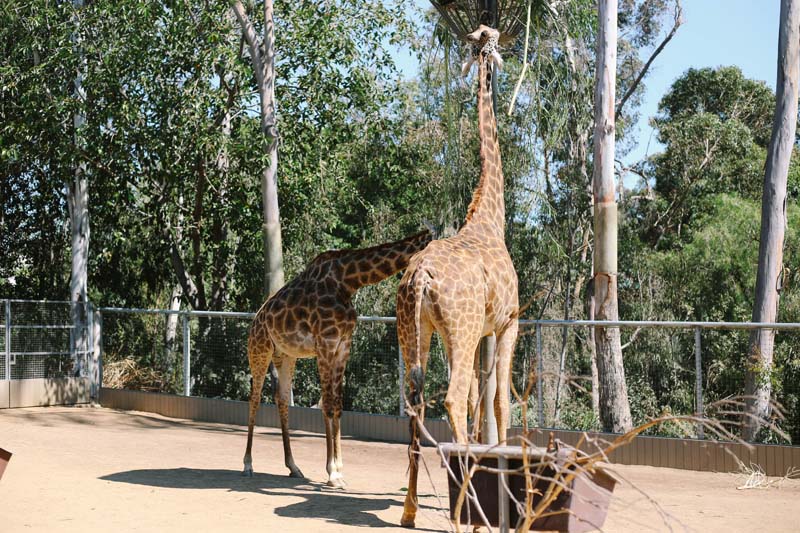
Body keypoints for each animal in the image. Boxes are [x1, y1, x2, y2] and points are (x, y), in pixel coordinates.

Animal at [242, 229, 432, 486]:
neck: (348, 281)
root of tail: (256, 318)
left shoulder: (343, 345)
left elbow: (338, 405)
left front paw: (339, 470)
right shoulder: (325, 343)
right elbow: (328, 406)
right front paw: (332, 473)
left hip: (286, 355)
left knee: (281, 398)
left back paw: (293, 466)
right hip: (259, 349)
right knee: (254, 398)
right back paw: (248, 464)